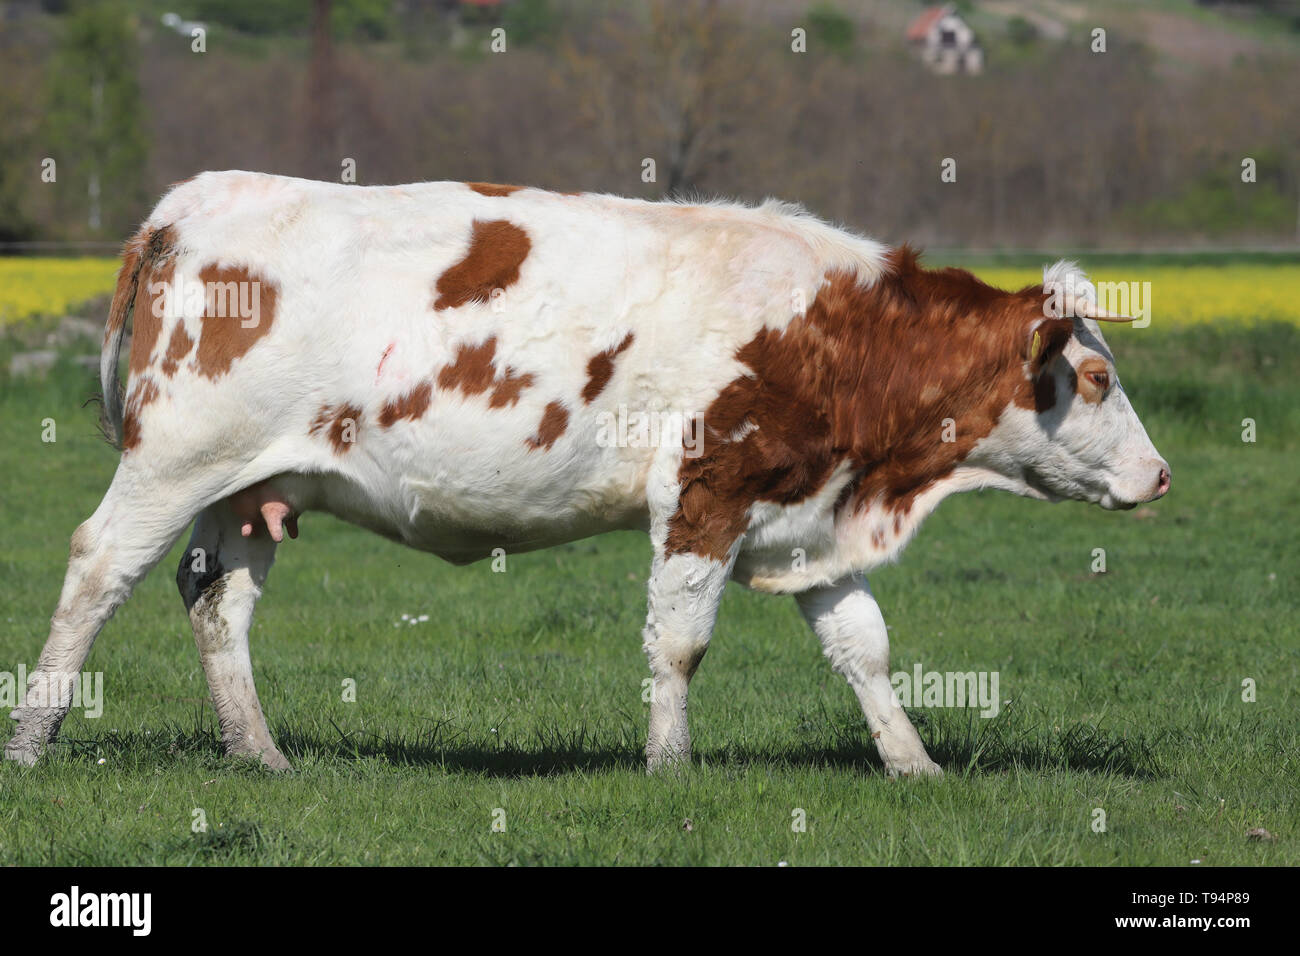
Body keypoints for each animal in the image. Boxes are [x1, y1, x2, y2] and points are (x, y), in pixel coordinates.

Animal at [5, 171, 1170, 777]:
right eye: (1098, 377)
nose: (1159, 475)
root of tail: (197, 198)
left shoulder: (808, 511)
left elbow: (864, 647)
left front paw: (912, 765)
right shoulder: (707, 489)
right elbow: (681, 642)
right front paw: (669, 768)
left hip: (248, 489)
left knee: (217, 599)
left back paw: (260, 755)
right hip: (173, 460)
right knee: (97, 570)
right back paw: (32, 740)